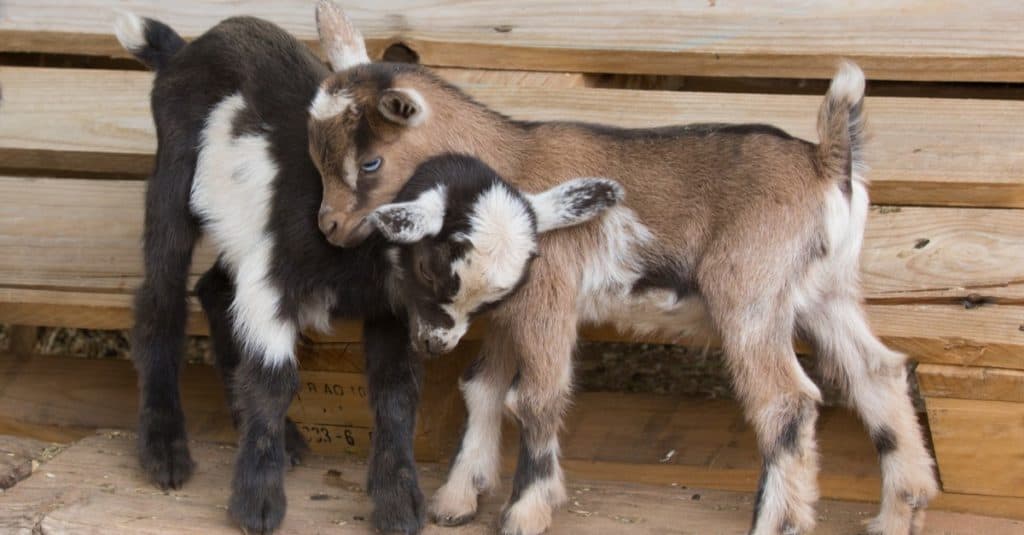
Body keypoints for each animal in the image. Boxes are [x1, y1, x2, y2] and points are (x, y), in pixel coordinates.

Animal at [117, 8, 618, 528]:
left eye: (498, 297)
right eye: (432, 268)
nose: (438, 345)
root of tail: (181, 49)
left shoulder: (391, 309)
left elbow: (395, 393)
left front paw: (398, 504)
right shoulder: (272, 278)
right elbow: (274, 379)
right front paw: (257, 503)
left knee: (214, 289)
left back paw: (279, 436)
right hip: (174, 175)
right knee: (160, 295)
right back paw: (165, 450)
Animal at [301, 2, 937, 528]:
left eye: (370, 163)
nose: (328, 227)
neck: (506, 160)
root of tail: (828, 163)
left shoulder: (548, 294)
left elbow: (533, 399)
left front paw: (525, 512)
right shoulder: (511, 308)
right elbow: (482, 387)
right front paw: (458, 498)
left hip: (750, 292)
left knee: (787, 401)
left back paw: (777, 521)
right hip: (826, 291)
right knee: (877, 373)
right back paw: (896, 513)